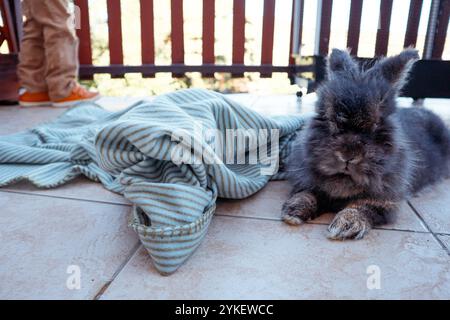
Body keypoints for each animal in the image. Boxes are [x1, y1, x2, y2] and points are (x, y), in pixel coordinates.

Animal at [284, 48, 448, 240]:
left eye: (377, 124)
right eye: (328, 119)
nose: (348, 156)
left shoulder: (384, 201)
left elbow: (362, 206)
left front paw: (344, 226)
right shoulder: (308, 184)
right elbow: (306, 194)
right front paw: (292, 213)